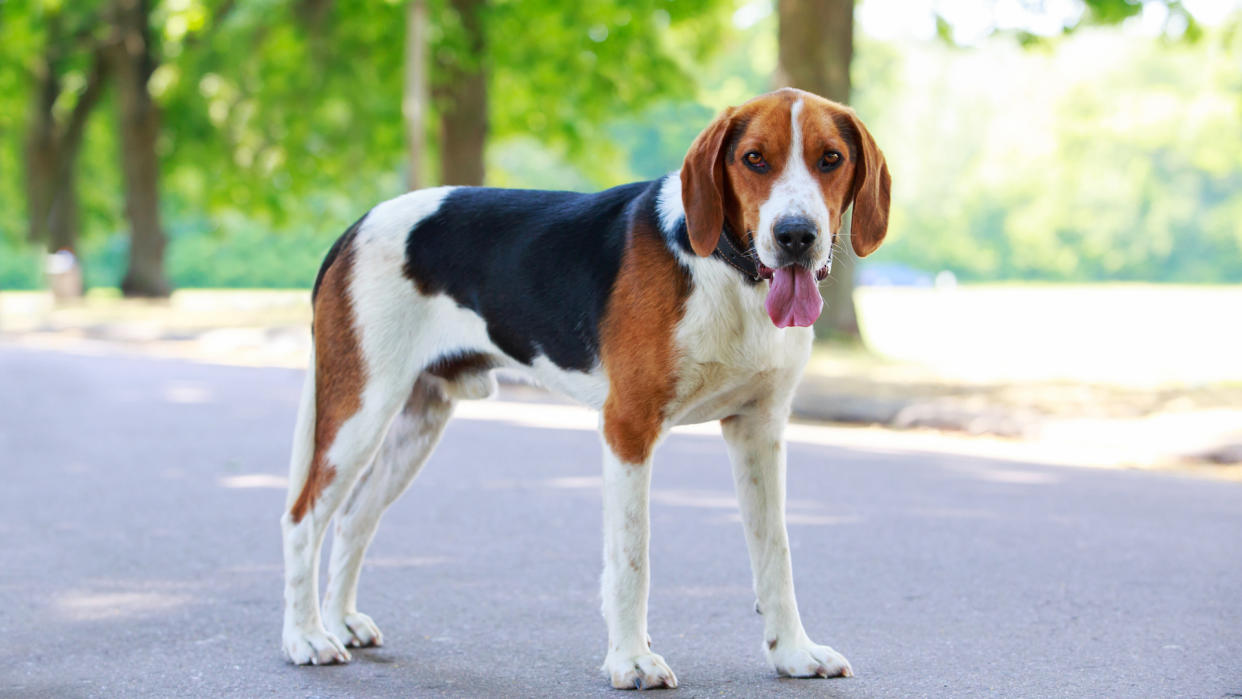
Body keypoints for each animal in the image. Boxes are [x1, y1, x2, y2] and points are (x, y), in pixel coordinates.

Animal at [278, 87, 889, 690]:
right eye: (754, 159)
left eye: (831, 158)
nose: (795, 236)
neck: (729, 273)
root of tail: (357, 226)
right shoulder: (628, 428)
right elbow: (631, 557)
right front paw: (631, 661)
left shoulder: (759, 431)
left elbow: (775, 555)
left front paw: (793, 653)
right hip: (358, 412)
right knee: (303, 518)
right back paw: (306, 637)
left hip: (416, 423)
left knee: (354, 518)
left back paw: (341, 621)